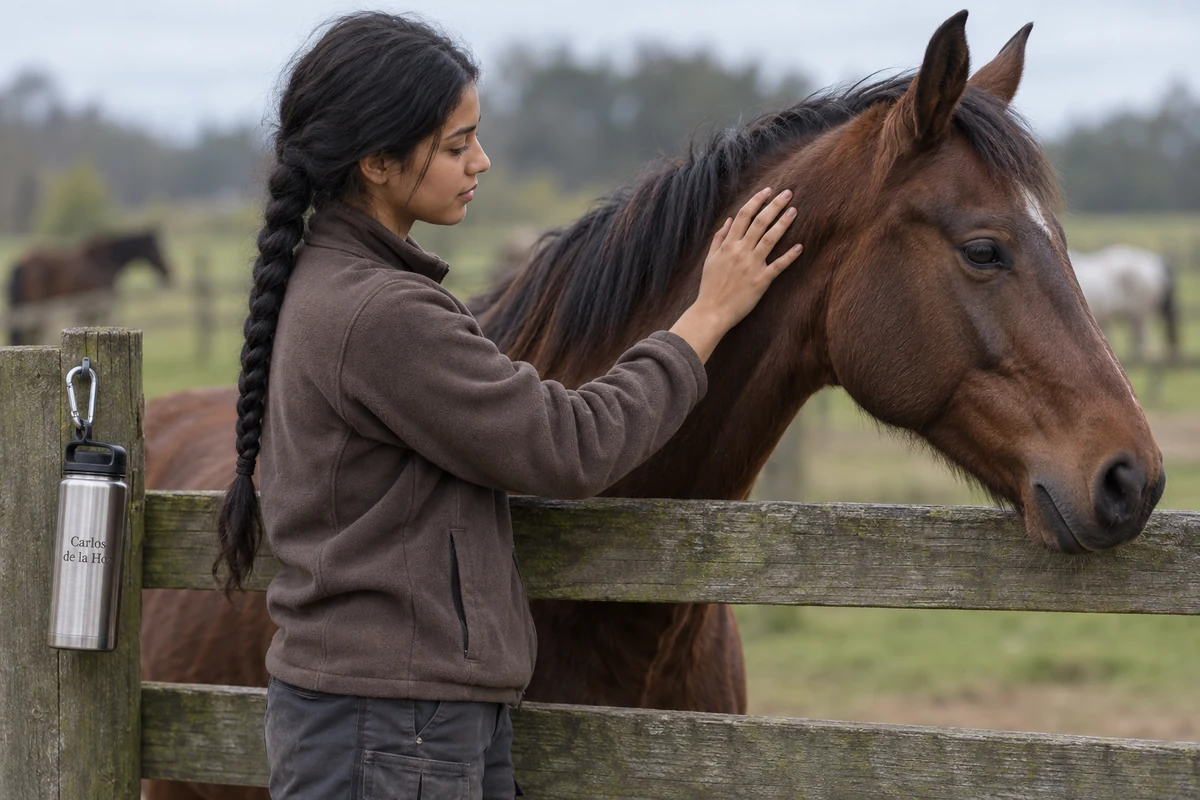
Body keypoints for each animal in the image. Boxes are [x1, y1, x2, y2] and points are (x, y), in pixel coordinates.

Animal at [5, 230, 171, 345]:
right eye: (157, 248)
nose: (168, 272)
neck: (106, 260)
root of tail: (22, 261)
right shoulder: (102, 304)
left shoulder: (89, 308)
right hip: (38, 307)